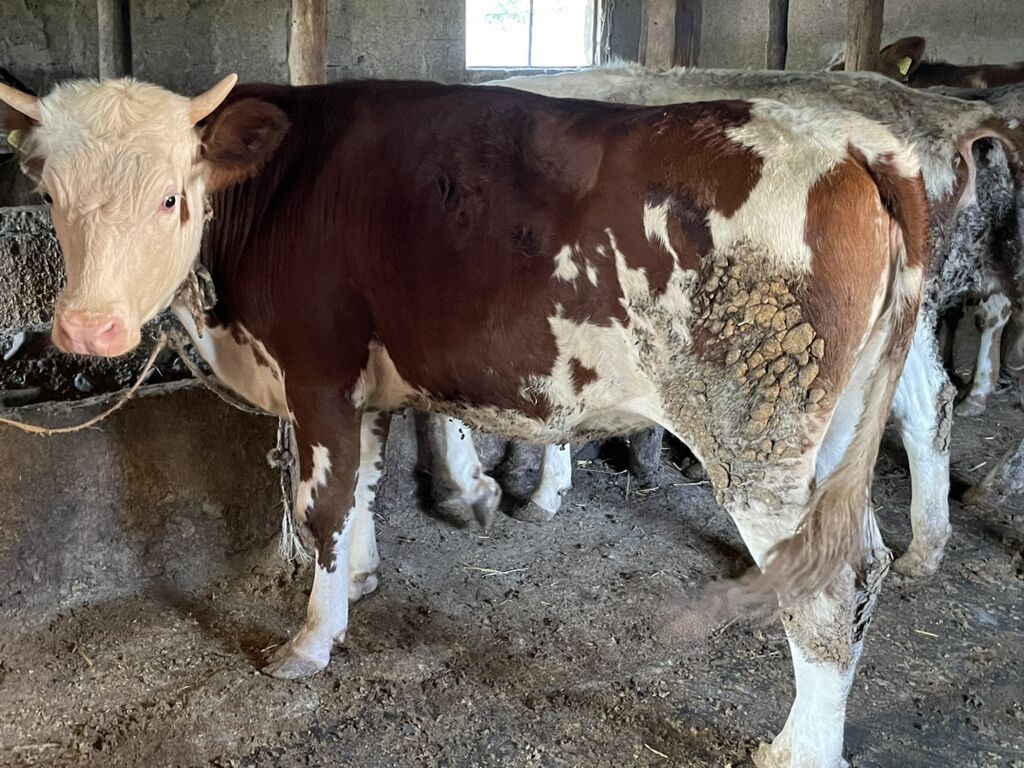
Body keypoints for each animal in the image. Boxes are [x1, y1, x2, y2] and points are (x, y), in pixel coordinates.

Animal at [0, 75, 929, 767]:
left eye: (169, 197)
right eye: (49, 194)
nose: (88, 328)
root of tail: (855, 142)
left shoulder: (318, 371)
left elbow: (323, 507)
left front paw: (311, 640)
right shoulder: (366, 388)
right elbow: (365, 488)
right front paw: (361, 581)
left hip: (756, 437)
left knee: (822, 591)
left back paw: (799, 750)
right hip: (830, 435)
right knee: (863, 564)